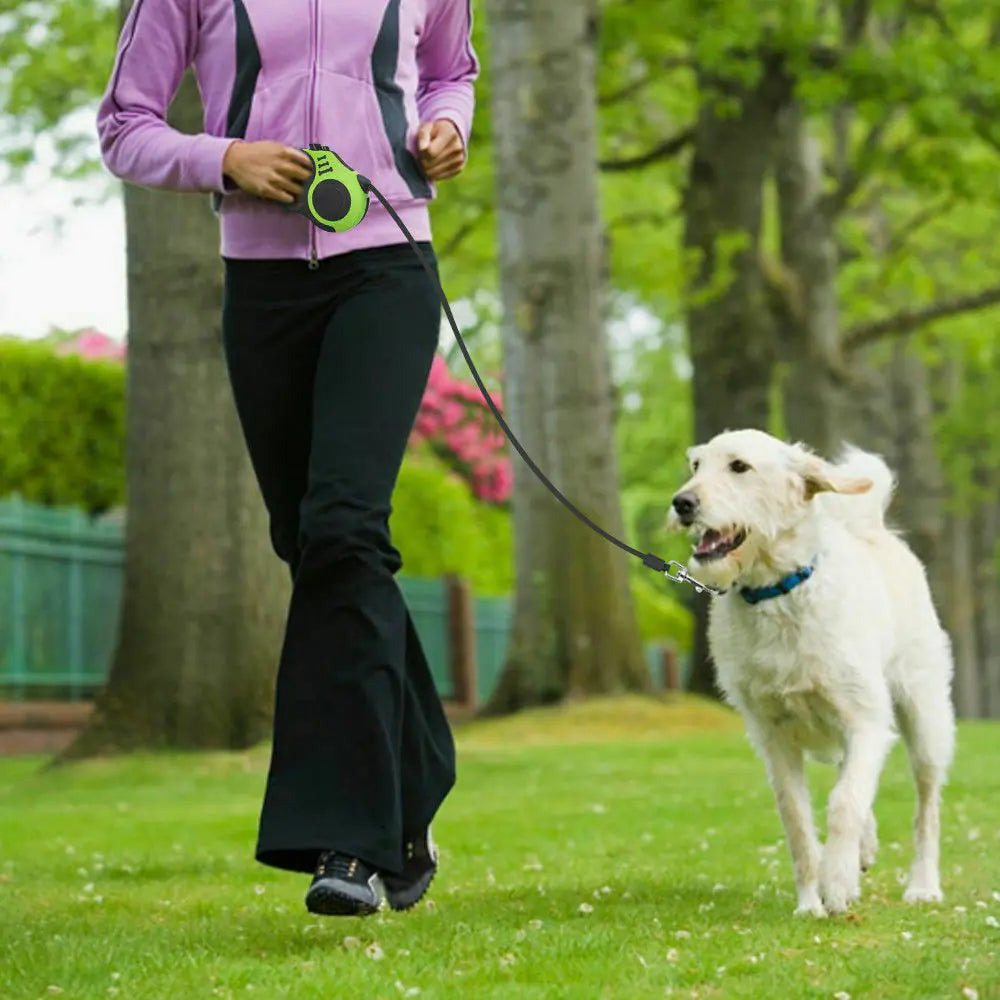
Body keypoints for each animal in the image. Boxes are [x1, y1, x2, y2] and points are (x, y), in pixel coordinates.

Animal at [668, 428, 956, 916]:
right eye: (696, 465)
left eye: (739, 466)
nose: (682, 502)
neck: (776, 594)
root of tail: (873, 530)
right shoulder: (774, 737)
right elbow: (797, 820)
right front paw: (810, 901)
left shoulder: (864, 720)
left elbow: (844, 803)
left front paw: (836, 882)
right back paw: (866, 848)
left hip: (925, 722)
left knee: (926, 808)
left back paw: (923, 885)